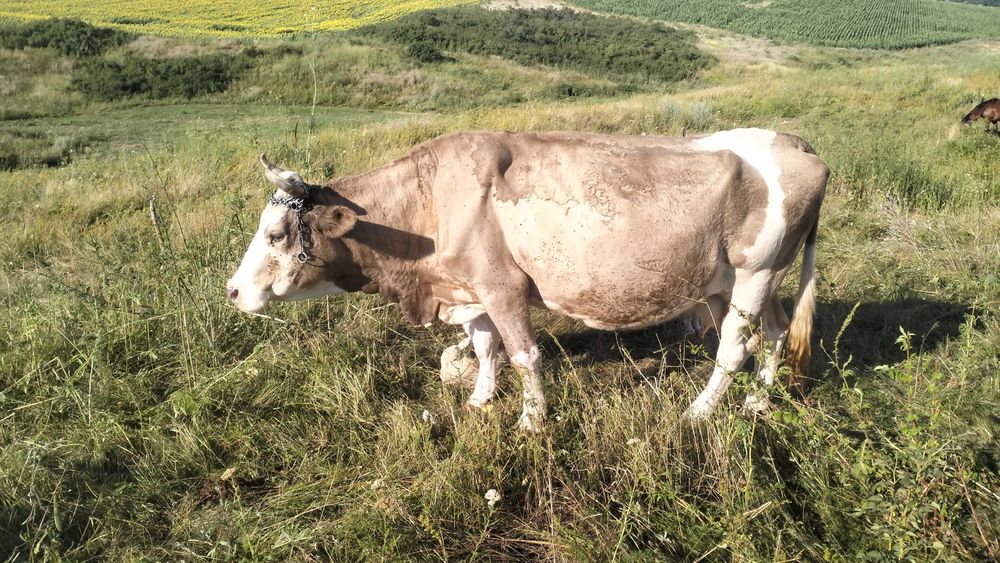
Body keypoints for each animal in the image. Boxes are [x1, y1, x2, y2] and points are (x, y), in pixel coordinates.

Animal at [227, 128, 829, 432]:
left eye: (276, 233)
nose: (233, 291)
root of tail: (796, 142)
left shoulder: (503, 286)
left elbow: (523, 355)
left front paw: (532, 421)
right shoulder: (471, 289)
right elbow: (484, 347)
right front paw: (479, 399)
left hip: (755, 272)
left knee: (734, 346)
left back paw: (700, 411)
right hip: (738, 280)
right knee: (773, 332)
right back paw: (757, 403)